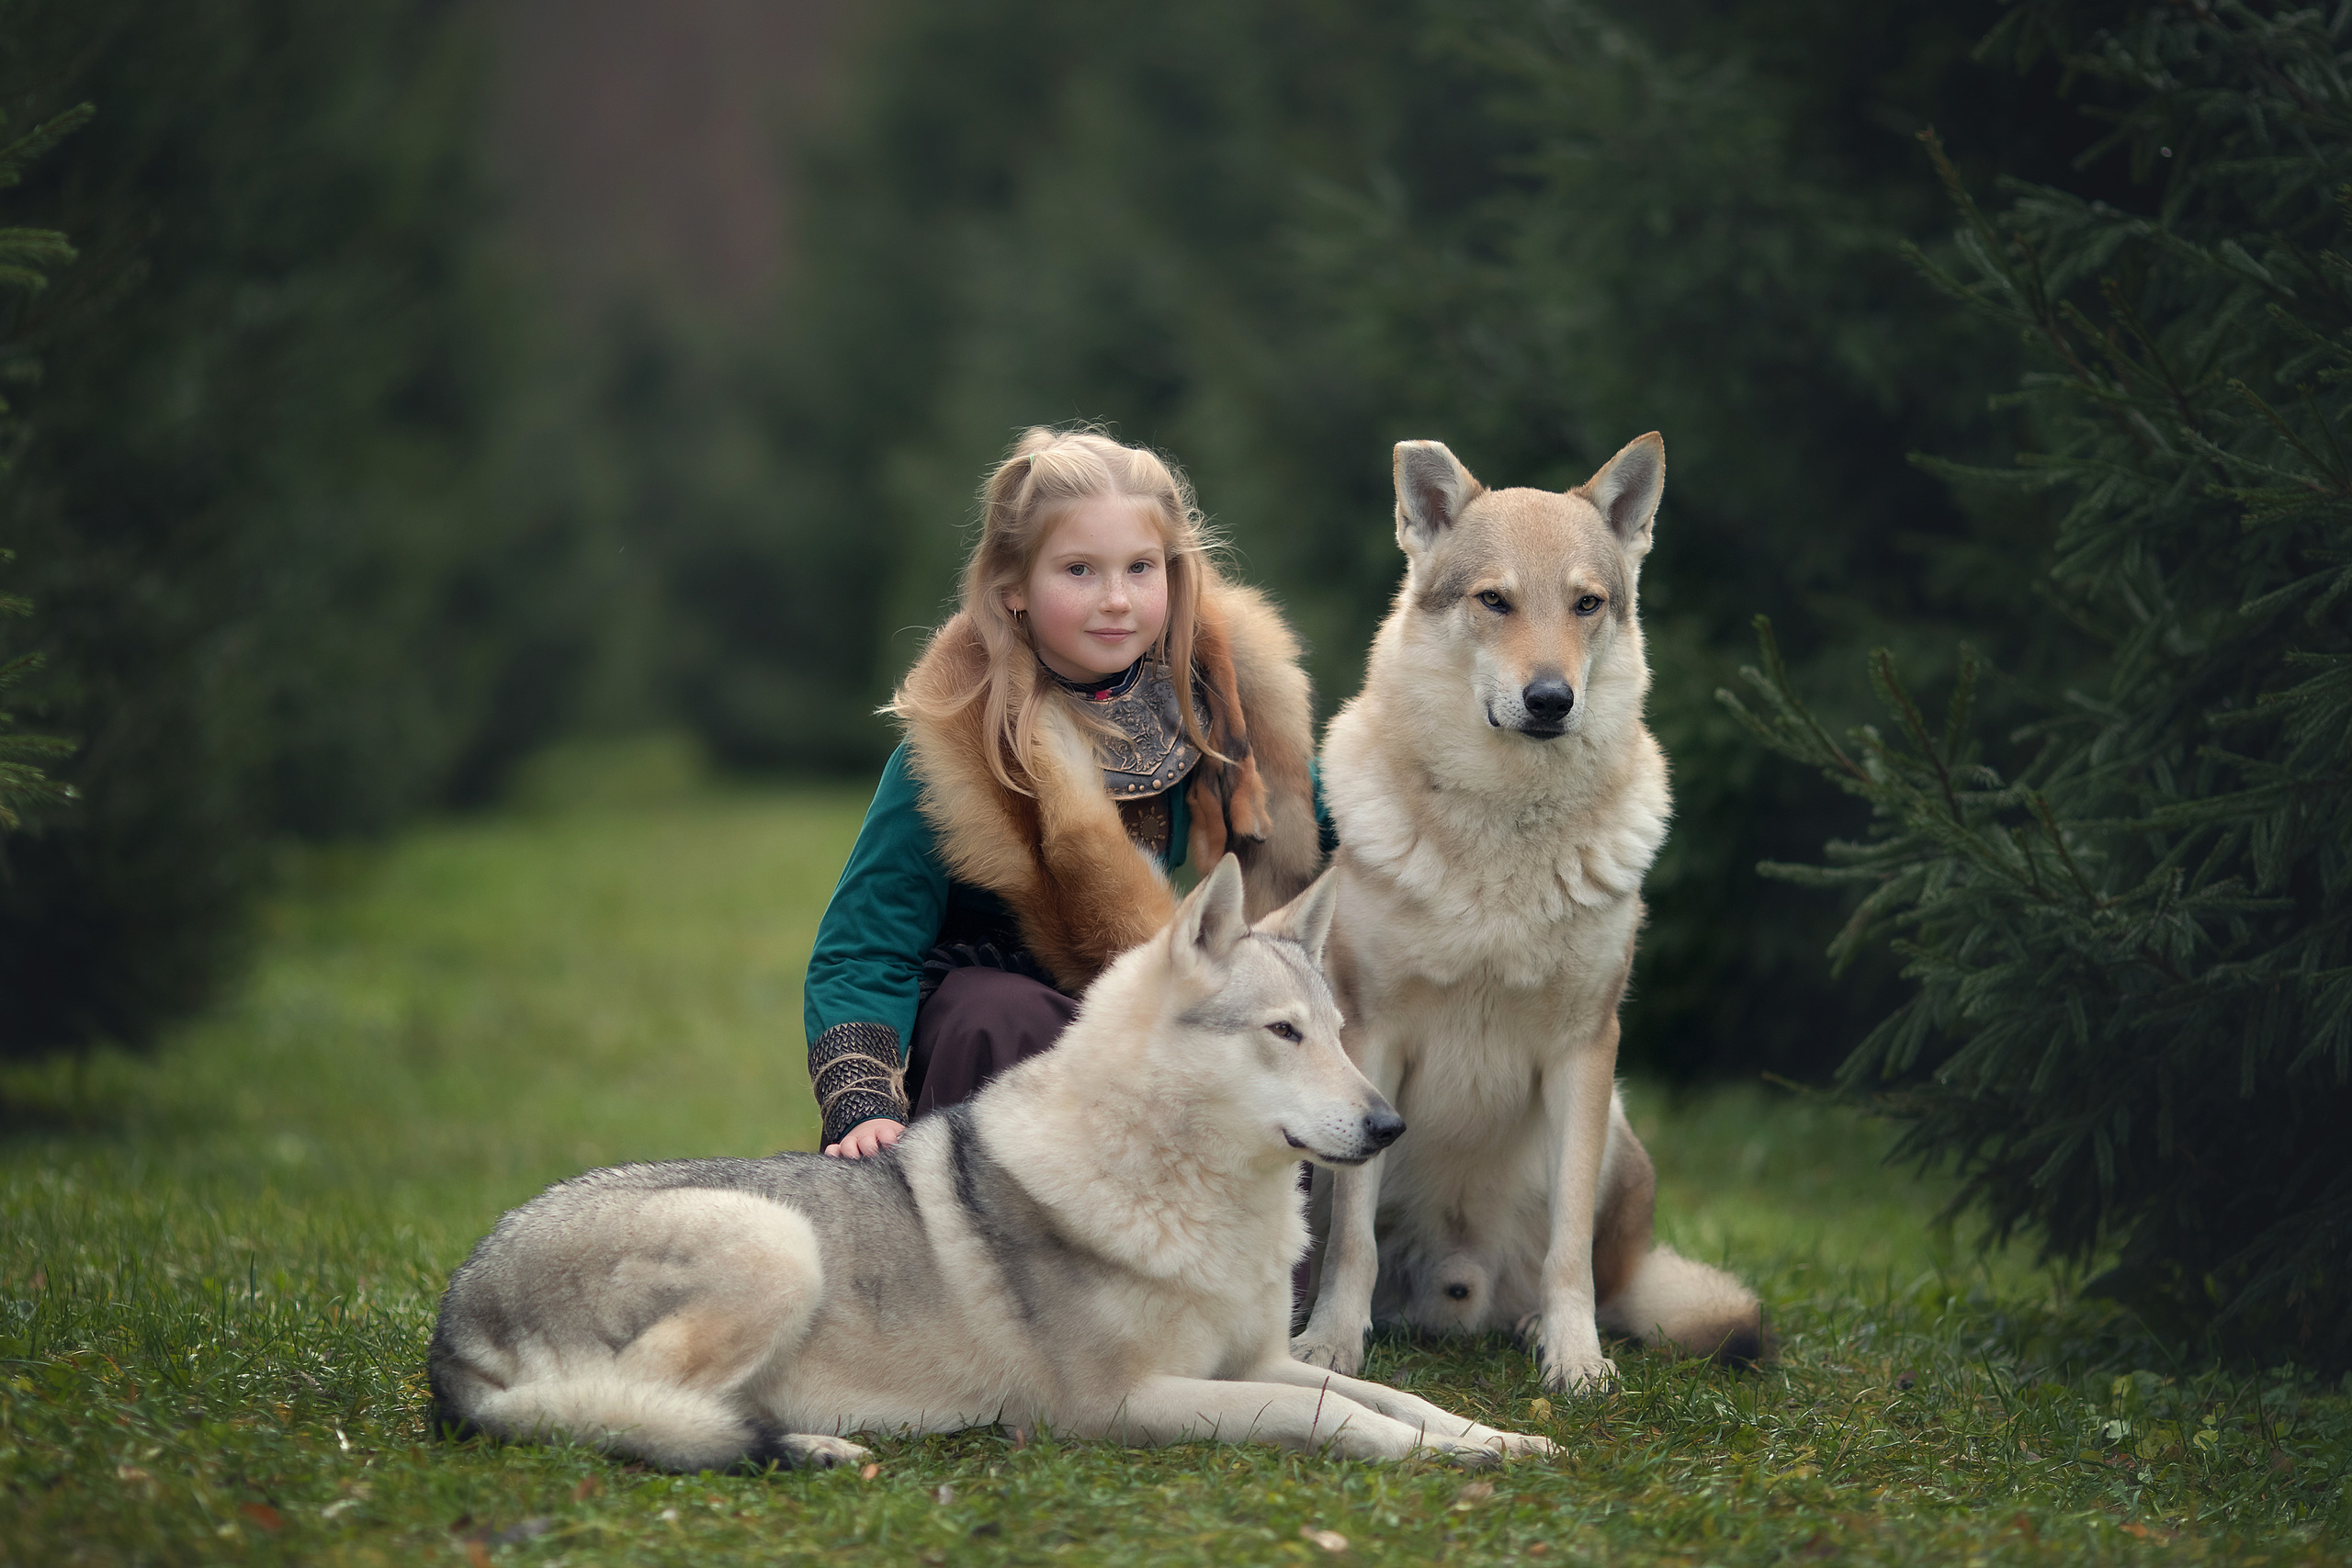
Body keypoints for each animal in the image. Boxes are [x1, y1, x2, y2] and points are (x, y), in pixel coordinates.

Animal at [428, 856, 1554, 1470]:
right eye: (1283, 1032)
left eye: (1337, 1033)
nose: (1389, 1126)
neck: (1191, 1196)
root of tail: (451, 1332)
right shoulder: (1124, 1406)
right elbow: (1330, 1414)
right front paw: (1433, 1457)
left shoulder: (1256, 1357)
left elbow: (1397, 1398)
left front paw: (1498, 1440)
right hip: (776, 1243)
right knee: (647, 1417)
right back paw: (816, 1443)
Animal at [1289, 434, 1766, 1395]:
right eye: (1495, 600)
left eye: (1586, 603)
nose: (1550, 699)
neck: (1505, 829)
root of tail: (1455, 1292)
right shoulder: (1369, 1036)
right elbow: (1351, 1241)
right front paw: (1331, 1346)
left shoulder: (1584, 1049)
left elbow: (1568, 1251)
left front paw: (1575, 1362)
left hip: (1616, 1123)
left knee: (1600, 1279)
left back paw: (1538, 1328)